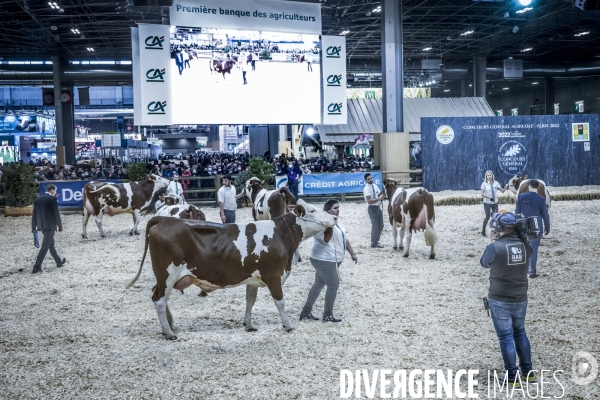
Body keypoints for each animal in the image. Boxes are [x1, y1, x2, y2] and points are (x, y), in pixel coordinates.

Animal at [126, 198, 338, 340]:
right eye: (312, 210)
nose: (335, 217)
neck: (280, 235)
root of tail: (165, 220)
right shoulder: (273, 275)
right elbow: (280, 302)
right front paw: (287, 325)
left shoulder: (253, 278)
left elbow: (250, 302)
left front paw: (249, 324)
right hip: (167, 274)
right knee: (159, 300)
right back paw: (169, 332)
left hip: (164, 278)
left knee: (159, 296)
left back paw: (170, 326)